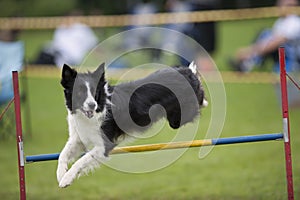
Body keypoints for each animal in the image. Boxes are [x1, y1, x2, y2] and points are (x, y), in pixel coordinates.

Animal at [56, 62, 206, 188]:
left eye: (95, 92)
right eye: (79, 92)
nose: (92, 105)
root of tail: (186, 71)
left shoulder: (105, 144)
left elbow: (81, 161)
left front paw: (66, 179)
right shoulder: (78, 138)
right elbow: (63, 154)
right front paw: (61, 174)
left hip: (179, 118)